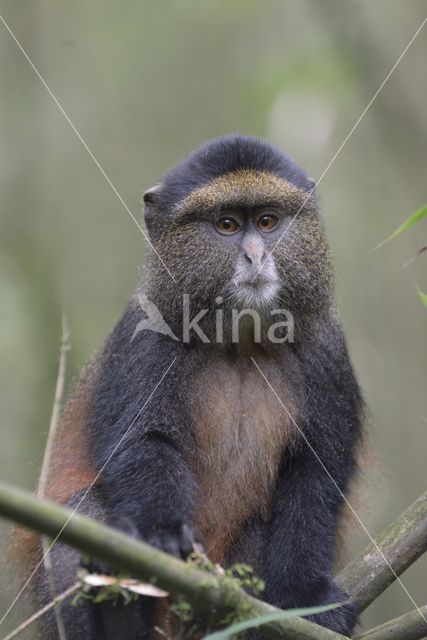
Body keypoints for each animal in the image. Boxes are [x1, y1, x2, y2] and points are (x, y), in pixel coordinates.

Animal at [15, 135, 364, 640]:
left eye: (267, 221)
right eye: (226, 225)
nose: (255, 256)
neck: (239, 338)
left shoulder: (327, 350)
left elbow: (315, 469)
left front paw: (306, 600)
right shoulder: (145, 336)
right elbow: (145, 443)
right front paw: (164, 535)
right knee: (83, 514)